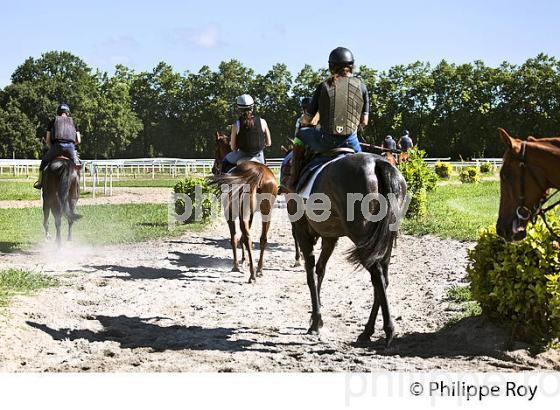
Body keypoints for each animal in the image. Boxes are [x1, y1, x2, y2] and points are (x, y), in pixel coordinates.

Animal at [209, 131, 278, 282]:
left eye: (216, 149)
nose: (213, 168)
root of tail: (258, 171)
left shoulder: (229, 213)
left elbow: (234, 238)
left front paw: (236, 265)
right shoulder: (250, 213)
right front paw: (244, 259)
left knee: (247, 237)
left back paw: (252, 273)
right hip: (266, 211)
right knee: (262, 238)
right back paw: (259, 269)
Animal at [288, 152, 406, 348]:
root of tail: (377, 163)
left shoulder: (302, 233)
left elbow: (310, 275)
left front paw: (315, 322)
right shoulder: (329, 237)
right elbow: (320, 270)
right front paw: (316, 318)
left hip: (363, 238)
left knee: (377, 276)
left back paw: (388, 330)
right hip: (385, 241)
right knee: (383, 278)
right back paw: (367, 331)